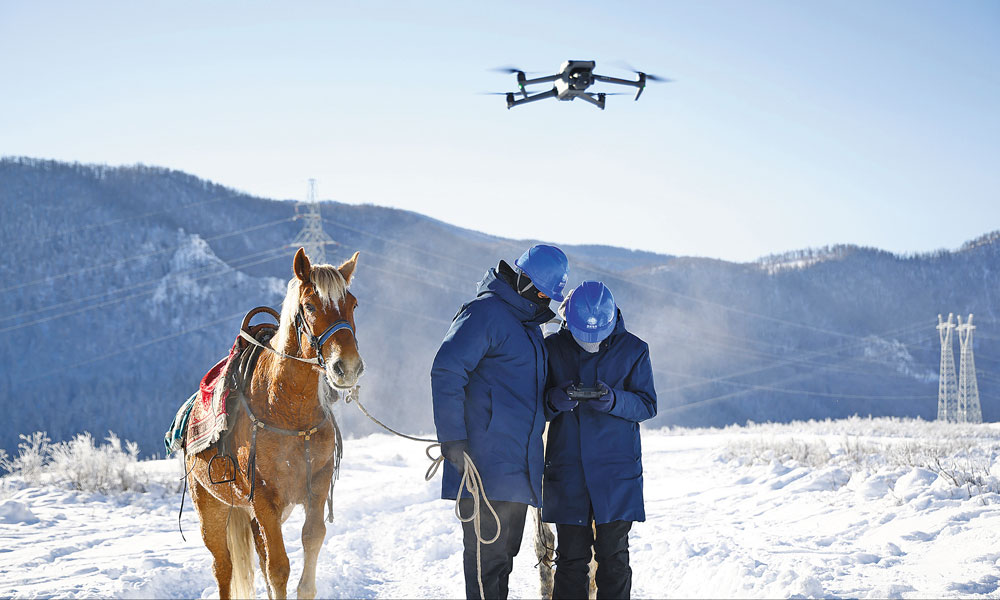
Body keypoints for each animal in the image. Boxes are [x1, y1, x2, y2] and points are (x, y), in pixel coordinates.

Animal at [187, 247, 364, 600]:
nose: (347, 367)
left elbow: (312, 539)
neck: (288, 411)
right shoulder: (265, 500)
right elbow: (278, 568)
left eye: (352, 304)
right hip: (213, 510)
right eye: (310, 305)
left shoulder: (316, 487)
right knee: (223, 567)